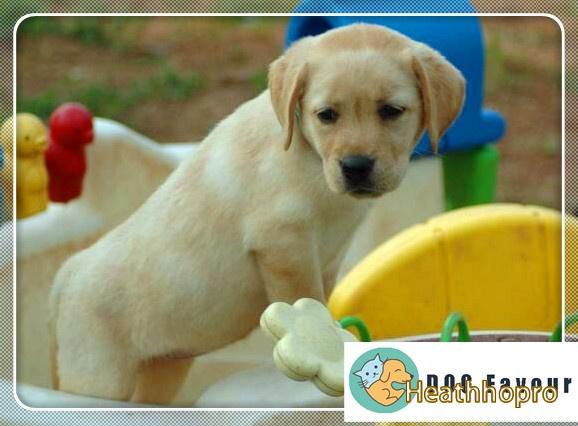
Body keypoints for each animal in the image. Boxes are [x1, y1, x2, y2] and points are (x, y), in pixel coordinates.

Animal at [49, 22, 464, 402]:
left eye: (391, 111)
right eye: (327, 115)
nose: (356, 166)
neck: (310, 155)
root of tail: (66, 276)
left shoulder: (328, 258)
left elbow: (324, 299)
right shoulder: (283, 245)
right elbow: (308, 302)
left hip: (163, 369)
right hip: (98, 376)